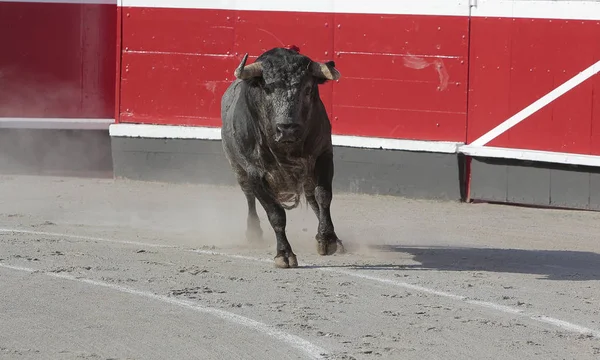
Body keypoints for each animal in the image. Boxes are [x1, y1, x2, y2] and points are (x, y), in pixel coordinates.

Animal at [220, 47, 344, 268]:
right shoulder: (255, 173)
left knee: (313, 198)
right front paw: (284, 254)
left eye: (307, 89)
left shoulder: (323, 155)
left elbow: (323, 196)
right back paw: (253, 232)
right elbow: (275, 214)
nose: (287, 129)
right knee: (249, 196)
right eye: (267, 89)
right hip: (237, 168)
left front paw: (327, 240)